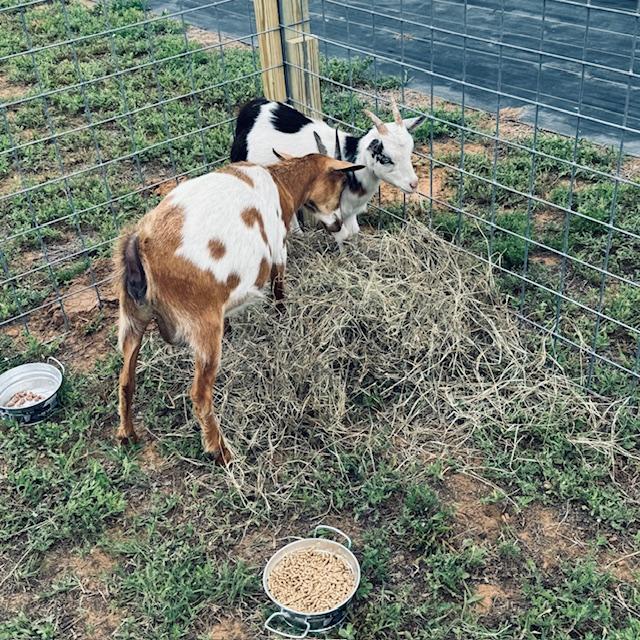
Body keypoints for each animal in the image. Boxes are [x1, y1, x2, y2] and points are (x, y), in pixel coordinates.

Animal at [114, 153, 364, 463]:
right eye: (340, 187)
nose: (337, 225)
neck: (281, 183)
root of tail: (140, 245)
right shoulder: (278, 249)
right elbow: (279, 287)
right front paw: (282, 317)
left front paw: (232, 330)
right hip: (202, 324)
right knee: (200, 395)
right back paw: (222, 452)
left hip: (131, 318)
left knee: (126, 379)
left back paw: (127, 434)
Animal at [231, 97, 425, 244]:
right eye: (385, 158)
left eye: (410, 151)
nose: (414, 184)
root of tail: (251, 108)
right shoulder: (330, 211)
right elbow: (342, 235)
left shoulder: (349, 213)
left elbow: (354, 233)